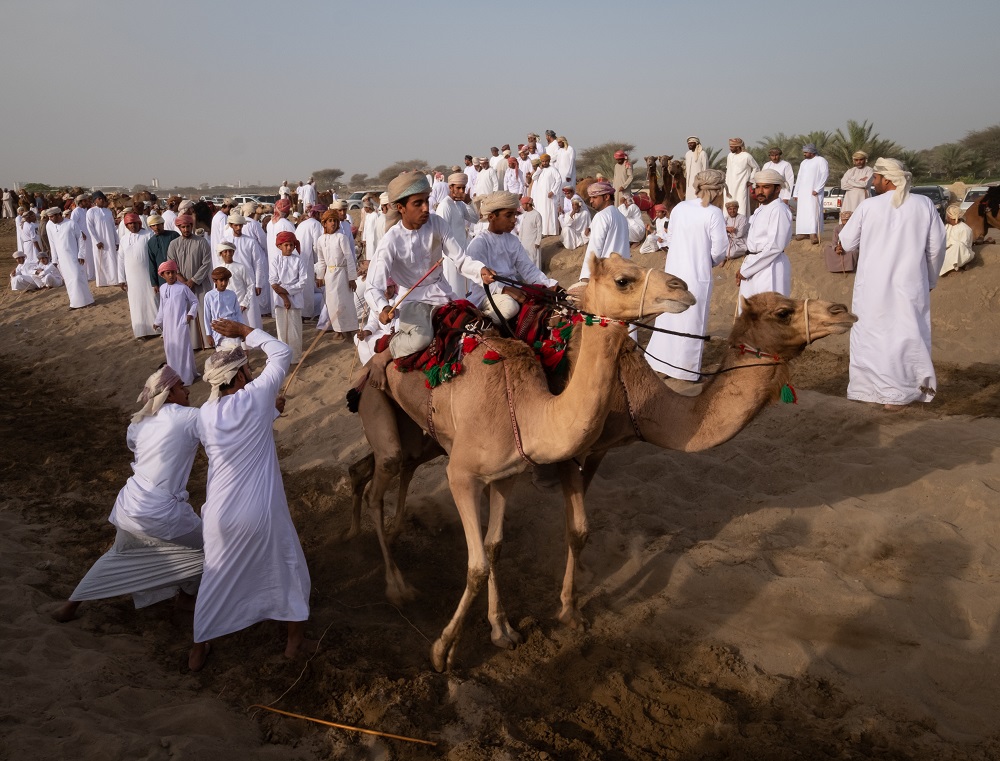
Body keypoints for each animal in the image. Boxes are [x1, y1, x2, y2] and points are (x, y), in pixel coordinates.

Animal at [348, 290, 856, 628]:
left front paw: (573, 594)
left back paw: (378, 525)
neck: (636, 395)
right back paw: (393, 577)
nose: (843, 311)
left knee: (386, 465)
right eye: (783, 312)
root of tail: (381, 351)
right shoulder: (574, 453)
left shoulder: (598, 453)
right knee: (390, 463)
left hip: (427, 434)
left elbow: (580, 531)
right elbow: (577, 528)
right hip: (396, 413)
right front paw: (568, 609)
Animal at [360, 252, 696, 668]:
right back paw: (397, 586)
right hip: (378, 404)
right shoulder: (461, 475)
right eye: (623, 280)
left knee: (388, 468)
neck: (527, 410)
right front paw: (443, 650)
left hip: (422, 435)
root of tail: (378, 355)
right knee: (381, 479)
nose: (682, 288)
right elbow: (476, 566)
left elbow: (494, 547)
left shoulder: (506, 474)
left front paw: (501, 630)